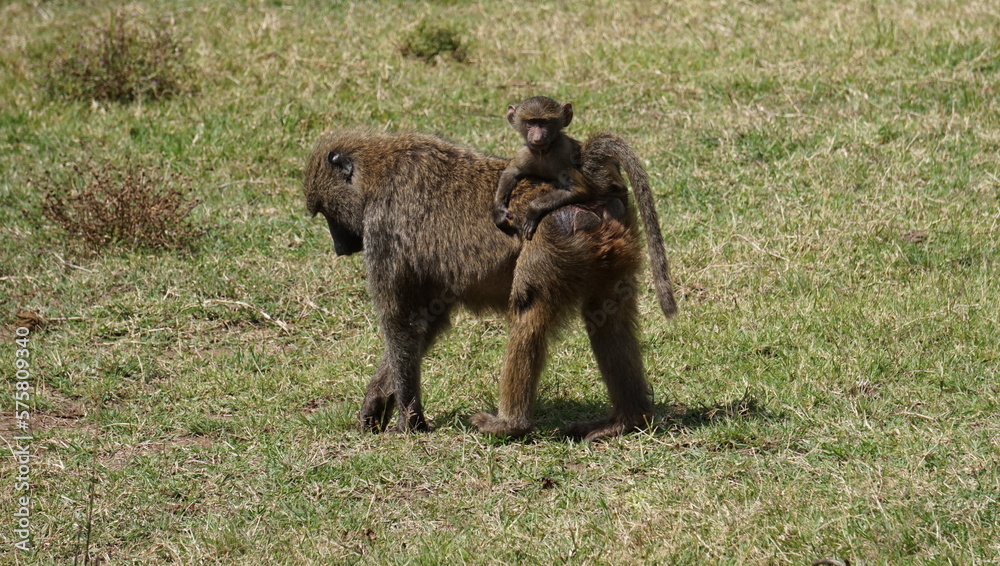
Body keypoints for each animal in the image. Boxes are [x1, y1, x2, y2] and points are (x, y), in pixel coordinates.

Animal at [304, 129, 668, 440]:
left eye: (326, 213)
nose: (339, 247)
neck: (379, 169)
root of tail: (594, 188)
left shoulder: (382, 231)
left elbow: (400, 322)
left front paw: (410, 421)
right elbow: (423, 322)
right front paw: (378, 400)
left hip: (554, 239)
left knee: (528, 309)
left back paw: (510, 424)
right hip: (610, 252)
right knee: (608, 320)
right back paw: (627, 420)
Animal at [494, 97, 677, 319]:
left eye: (545, 122)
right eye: (531, 122)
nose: (537, 137)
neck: (544, 153)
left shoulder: (563, 154)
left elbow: (578, 190)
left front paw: (533, 211)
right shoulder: (525, 153)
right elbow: (511, 172)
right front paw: (499, 213)